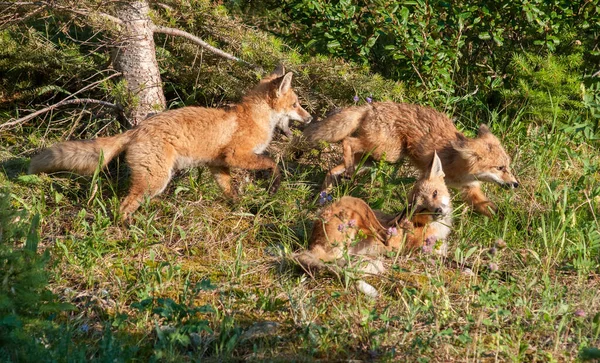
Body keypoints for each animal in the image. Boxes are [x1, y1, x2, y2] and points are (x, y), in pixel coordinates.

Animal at [28, 65, 312, 219]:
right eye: (296, 104)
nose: (310, 118)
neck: (254, 117)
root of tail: (138, 128)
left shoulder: (217, 164)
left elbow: (229, 190)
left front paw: (240, 208)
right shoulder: (236, 154)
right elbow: (272, 163)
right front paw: (274, 187)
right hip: (155, 179)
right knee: (124, 206)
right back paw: (127, 231)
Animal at [308, 101, 516, 218]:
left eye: (507, 167)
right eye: (500, 168)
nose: (516, 184)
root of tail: (372, 105)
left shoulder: (470, 190)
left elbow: (491, 209)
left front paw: (509, 221)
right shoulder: (429, 175)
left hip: (374, 159)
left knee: (334, 170)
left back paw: (324, 195)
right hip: (387, 152)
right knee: (347, 141)